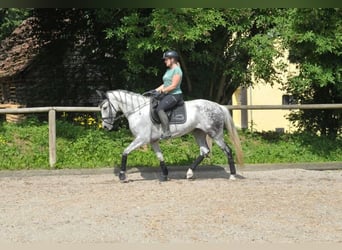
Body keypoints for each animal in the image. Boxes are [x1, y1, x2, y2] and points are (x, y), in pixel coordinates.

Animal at [97, 90, 244, 182]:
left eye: (104, 107)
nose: (105, 127)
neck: (137, 111)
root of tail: (218, 106)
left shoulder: (141, 139)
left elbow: (125, 152)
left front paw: (122, 175)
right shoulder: (153, 141)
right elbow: (160, 157)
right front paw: (165, 175)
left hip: (215, 134)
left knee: (227, 150)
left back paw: (232, 175)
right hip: (198, 133)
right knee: (204, 151)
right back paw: (189, 173)